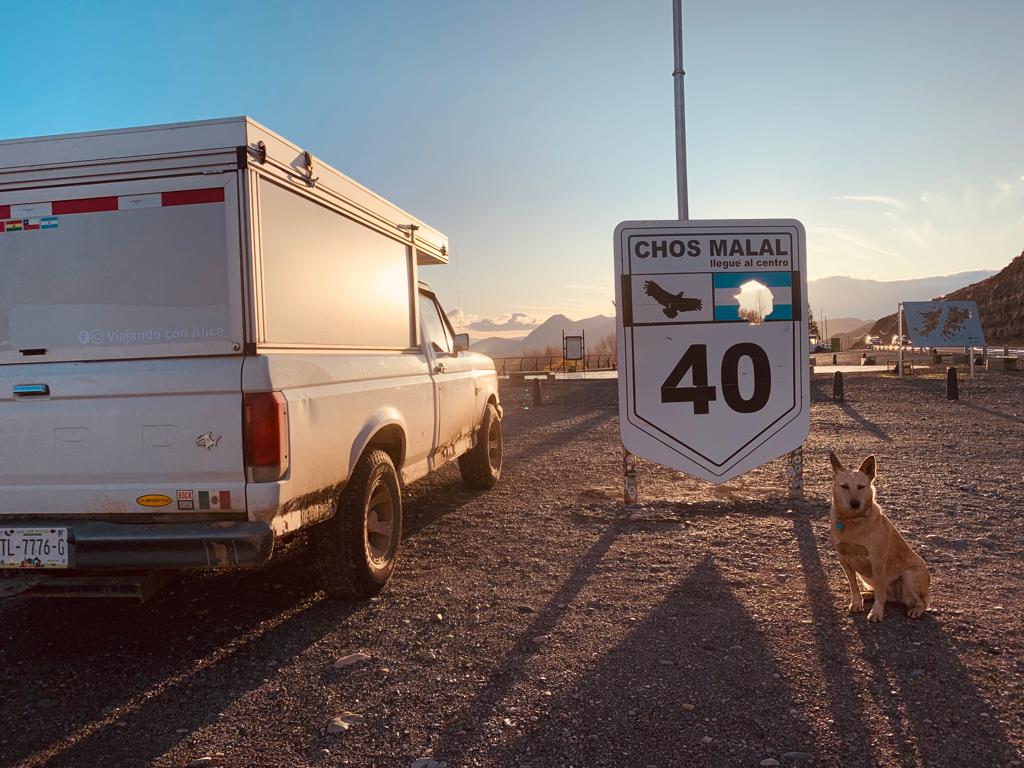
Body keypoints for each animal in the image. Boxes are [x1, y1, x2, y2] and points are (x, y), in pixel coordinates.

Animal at [827, 454, 933, 622]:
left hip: (909, 576)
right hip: (866, 577)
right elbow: (853, 586)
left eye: (861, 486)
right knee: (885, 595)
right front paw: (857, 602)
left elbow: (879, 594)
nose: (855, 503)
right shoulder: (843, 559)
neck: (853, 520)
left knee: (920, 602)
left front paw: (876, 612)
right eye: (844, 486)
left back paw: (916, 610)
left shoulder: (876, 561)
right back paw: (868, 595)